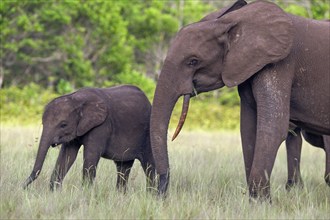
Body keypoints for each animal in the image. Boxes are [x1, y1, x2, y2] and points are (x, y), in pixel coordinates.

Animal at [22, 85, 156, 192]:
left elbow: (91, 156)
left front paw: (85, 194)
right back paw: (121, 195)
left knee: (149, 165)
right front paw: (53, 193)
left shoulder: (102, 125)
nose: (23, 187)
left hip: (147, 133)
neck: (76, 100)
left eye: (63, 125)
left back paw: (151, 195)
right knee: (123, 167)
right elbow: (67, 156)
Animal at [150, 0, 330, 200]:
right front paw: (257, 202)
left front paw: (261, 203)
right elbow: (248, 129)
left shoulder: (280, 64)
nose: (161, 192)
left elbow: (273, 129)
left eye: (193, 61)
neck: (231, 23)